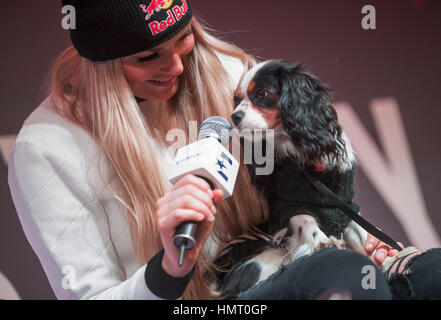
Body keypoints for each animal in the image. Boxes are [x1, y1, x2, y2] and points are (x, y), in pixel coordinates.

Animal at [218, 60, 418, 300]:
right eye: (238, 99)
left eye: (261, 94)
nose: (234, 116)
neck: (299, 153)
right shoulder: (289, 207)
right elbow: (306, 221)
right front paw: (322, 242)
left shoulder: (345, 206)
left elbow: (362, 233)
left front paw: (391, 258)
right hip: (259, 264)